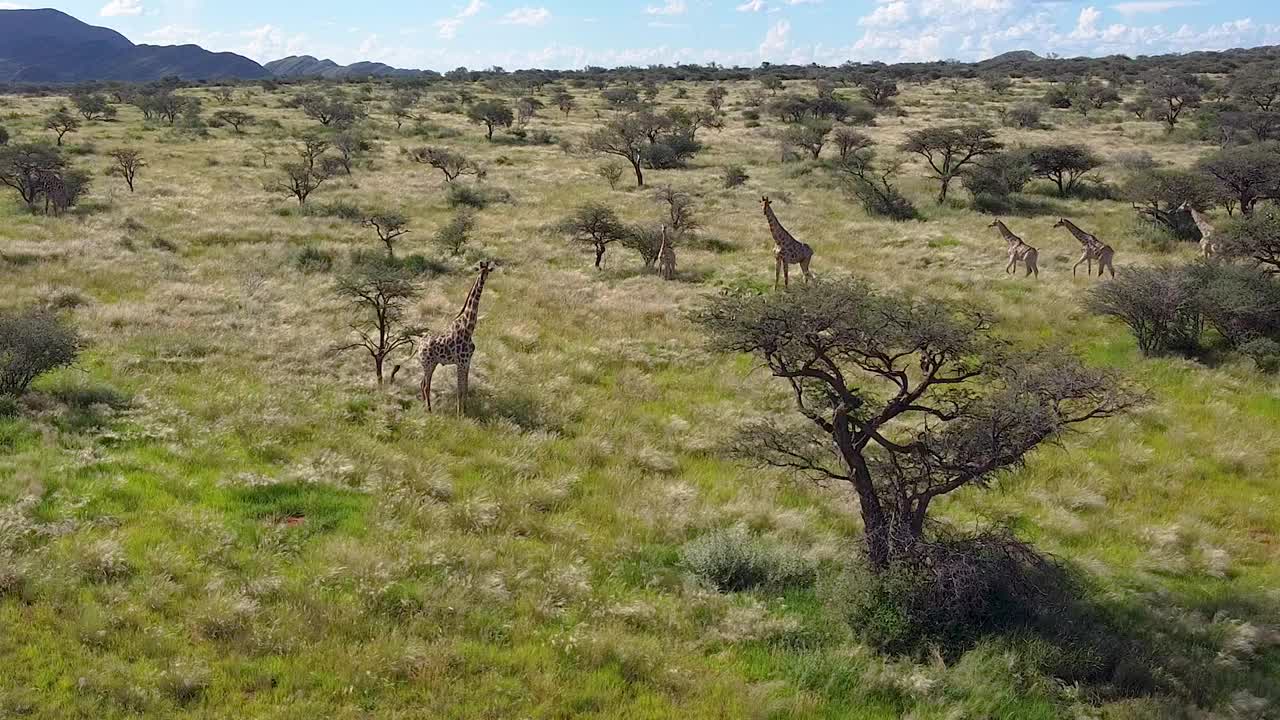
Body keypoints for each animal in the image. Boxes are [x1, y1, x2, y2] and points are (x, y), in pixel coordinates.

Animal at [422, 260, 496, 412]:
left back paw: (424, 406)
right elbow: (459, 390)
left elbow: (465, 388)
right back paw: (429, 410)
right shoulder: (461, 362)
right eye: (480, 270)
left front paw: (465, 410)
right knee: (426, 386)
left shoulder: (467, 362)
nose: (482, 280)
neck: (468, 329)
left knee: (422, 384)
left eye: (488, 271)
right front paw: (459, 413)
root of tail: (419, 346)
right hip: (428, 363)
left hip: (431, 363)